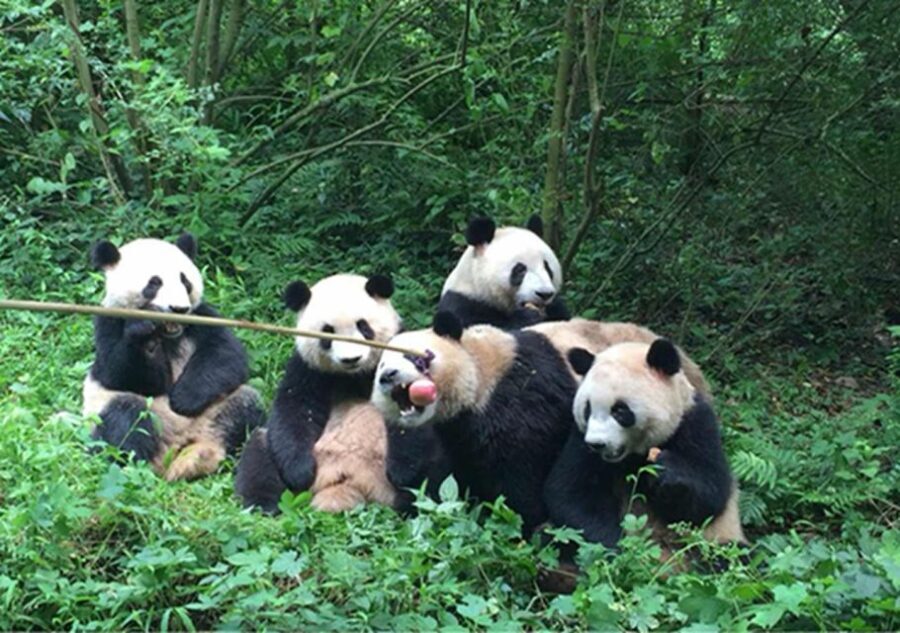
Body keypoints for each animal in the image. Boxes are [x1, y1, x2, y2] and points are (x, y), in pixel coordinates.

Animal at [82, 233, 265, 481]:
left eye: (184, 280)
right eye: (154, 283)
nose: (179, 308)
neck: (168, 334)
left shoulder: (202, 316)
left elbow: (225, 354)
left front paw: (183, 399)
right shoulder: (109, 321)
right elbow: (119, 373)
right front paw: (144, 335)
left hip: (214, 411)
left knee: (245, 406)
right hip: (116, 413)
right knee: (125, 416)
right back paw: (131, 466)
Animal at [234, 273, 401, 514]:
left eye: (363, 326)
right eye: (327, 332)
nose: (351, 359)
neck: (354, 375)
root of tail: (350, 482)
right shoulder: (308, 369)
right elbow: (295, 410)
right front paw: (301, 472)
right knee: (259, 452)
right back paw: (263, 504)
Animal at [371, 313, 710, 531]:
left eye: (416, 358)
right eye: (381, 365)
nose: (388, 377)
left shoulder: (521, 400)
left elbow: (521, 479)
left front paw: (514, 521)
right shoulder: (453, 428)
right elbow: (431, 474)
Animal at [543, 339, 745, 553]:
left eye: (620, 410)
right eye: (587, 409)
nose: (597, 444)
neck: (634, 455)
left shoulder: (694, 422)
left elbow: (710, 494)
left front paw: (666, 470)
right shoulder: (579, 439)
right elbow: (572, 494)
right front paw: (616, 549)